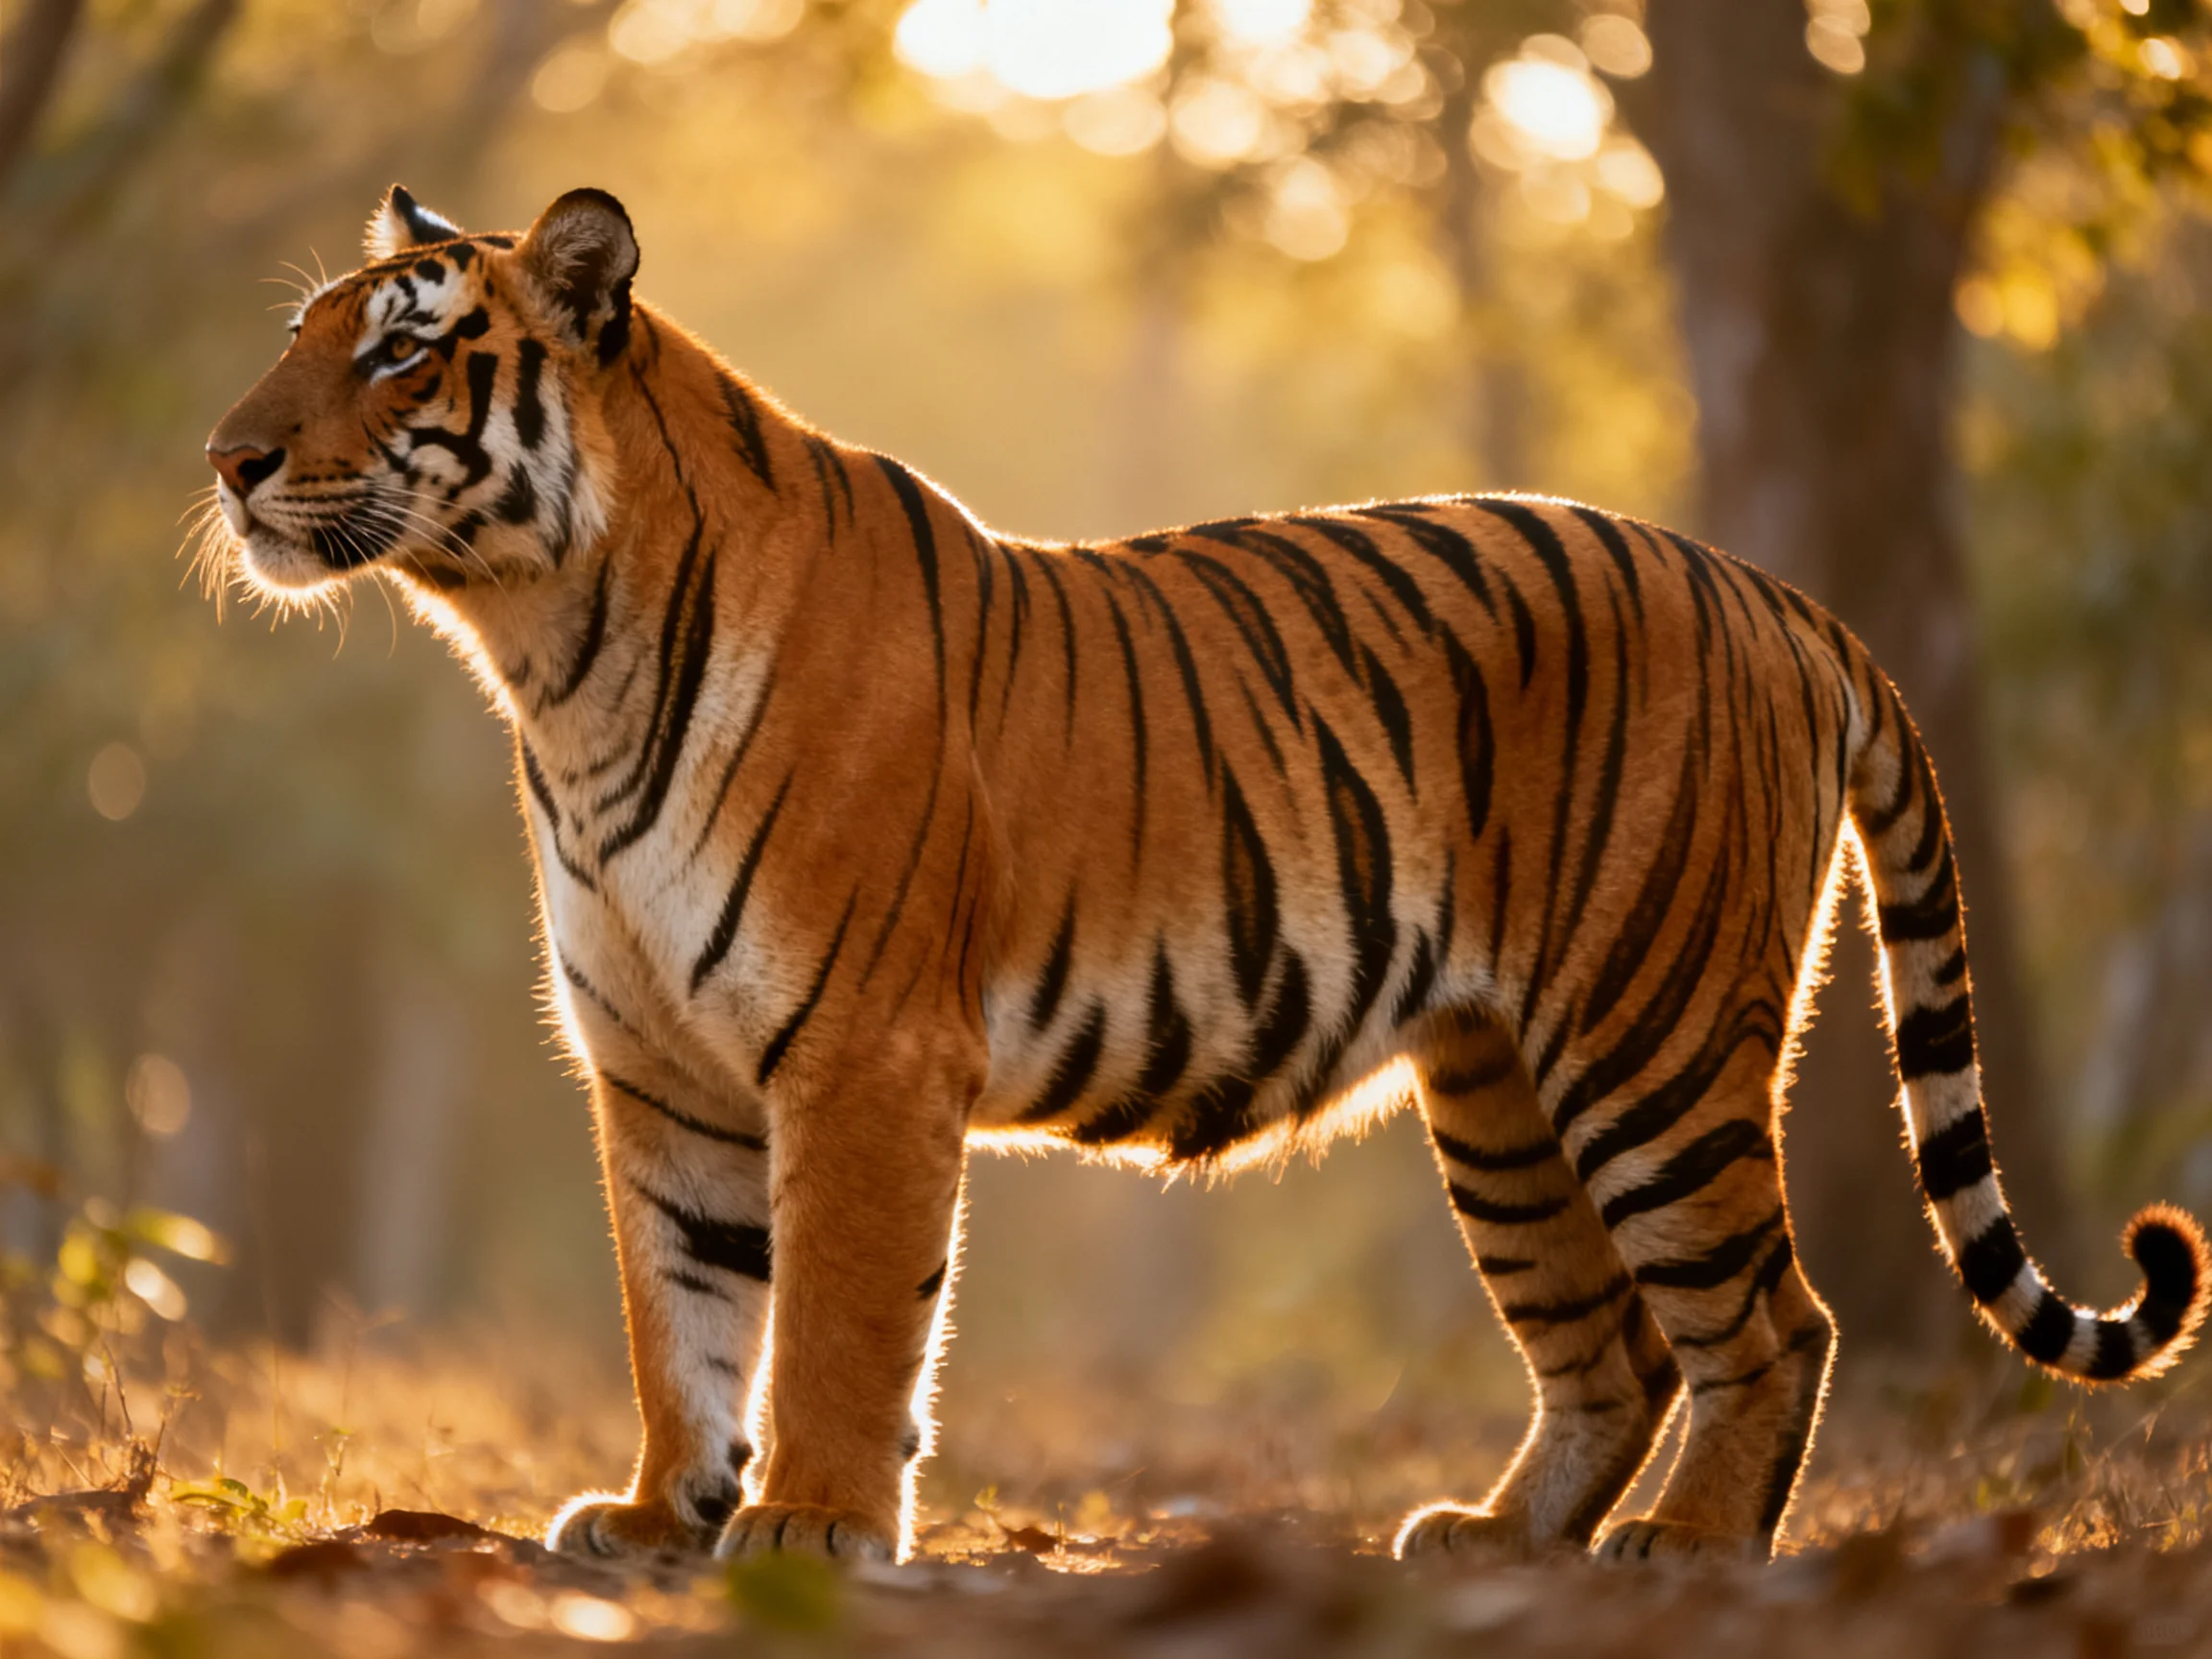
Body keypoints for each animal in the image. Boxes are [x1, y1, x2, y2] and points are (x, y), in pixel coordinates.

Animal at [203, 184, 2207, 1567]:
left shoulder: (858, 1054)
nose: (227, 458)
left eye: (400, 348)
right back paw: (1495, 1537)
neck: (548, 651)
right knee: (1615, 1341)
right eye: (301, 331)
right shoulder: (659, 1068)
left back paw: (1689, 1545)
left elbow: (836, 1319)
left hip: (1647, 1038)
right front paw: (657, 1510)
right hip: (1497, 1085)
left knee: (1770, 1318)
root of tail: (1778, 594)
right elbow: (676, 1309)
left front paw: (809, 1521)